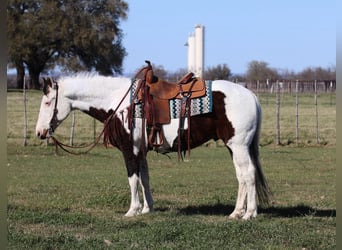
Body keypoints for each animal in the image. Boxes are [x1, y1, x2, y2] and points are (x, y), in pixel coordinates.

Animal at [36, 69, 272, 221]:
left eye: (47, 102)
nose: (40, 132)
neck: (119, 101)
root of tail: (251, 95)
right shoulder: (140, 151)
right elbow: (145, 179)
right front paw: (147, 209)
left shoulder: (129, 149)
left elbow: (133, 179)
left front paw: (132, 210)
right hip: (234, 147)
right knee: (242, 177)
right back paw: (236, 212)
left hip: (239, 146)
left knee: (248, 174)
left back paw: (249, 214)